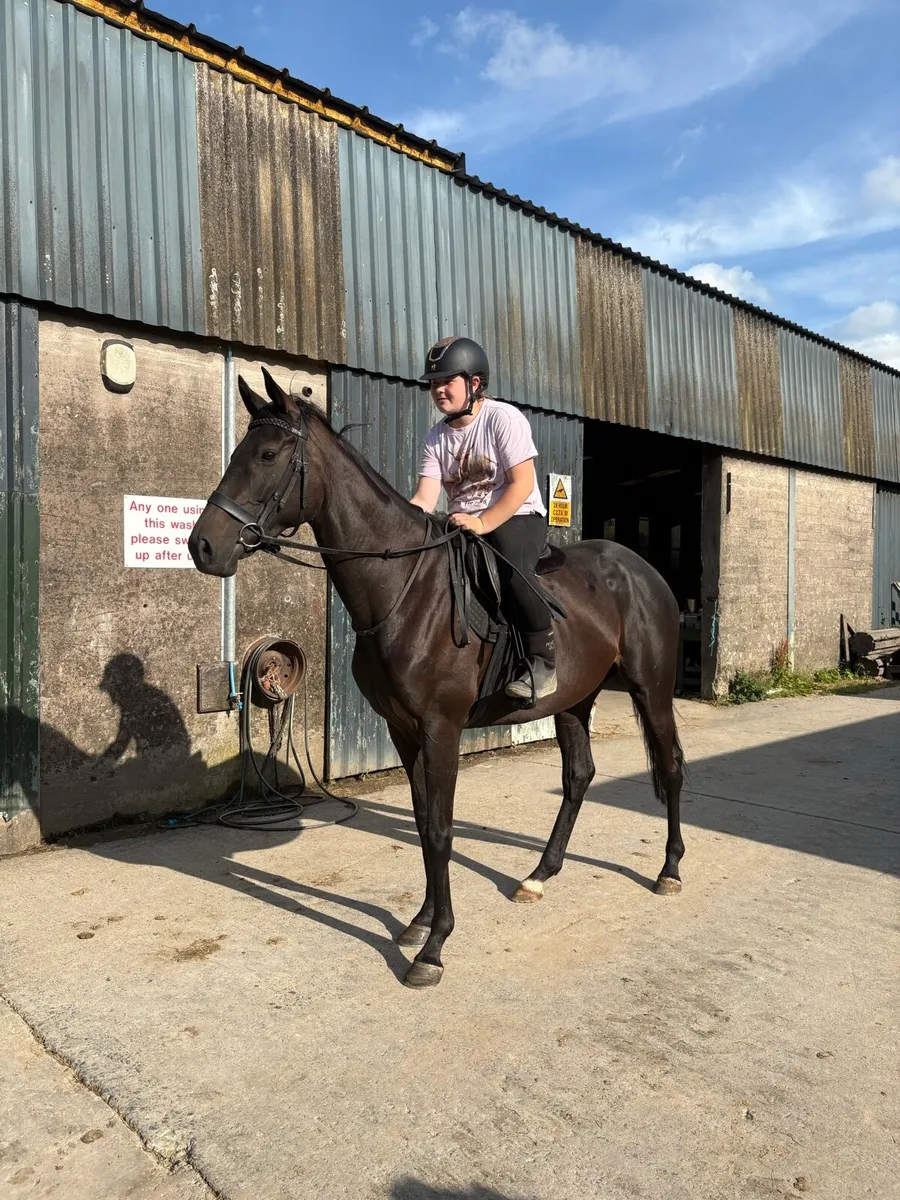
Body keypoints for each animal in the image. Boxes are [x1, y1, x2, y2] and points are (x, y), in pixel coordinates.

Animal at [189, 369, 685, 988]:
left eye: (268, 454)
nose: (202, 546)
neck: (405, 589)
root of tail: (642, 570)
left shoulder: (441, 727)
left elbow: (444, 830)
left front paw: (434, 948)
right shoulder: (404, 730)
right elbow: (425, 823)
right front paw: (421, 922)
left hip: (651, 688)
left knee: (670, 766)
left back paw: (669, 869)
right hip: (574, 699)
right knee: (578, 777)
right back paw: (539, 875)